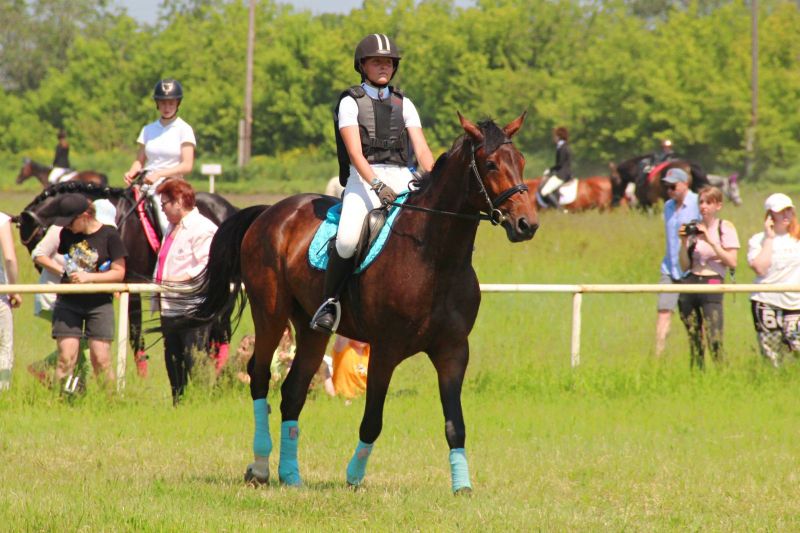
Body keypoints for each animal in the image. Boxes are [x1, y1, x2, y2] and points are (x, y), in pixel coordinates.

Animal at [15, 181, 239, 375]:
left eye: (38, 237)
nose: (41, 267)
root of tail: (231, 208)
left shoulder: (131, 284)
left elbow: (134, 334)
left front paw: (141, 377)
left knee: (222, 333)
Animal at [165, 113, 538, 493]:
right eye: (491, 165)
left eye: (521, 161)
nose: (527, 224)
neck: (435, 257)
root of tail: (271, 211)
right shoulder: (386, 349)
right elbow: (372, 419)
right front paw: (354, 476)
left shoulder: (453, 351)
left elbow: (455, 424)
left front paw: (462, 487)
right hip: (270, 313)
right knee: (260, 376)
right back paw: (261, 468)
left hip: (312, 330)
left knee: (293, 392)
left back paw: (291, 474)